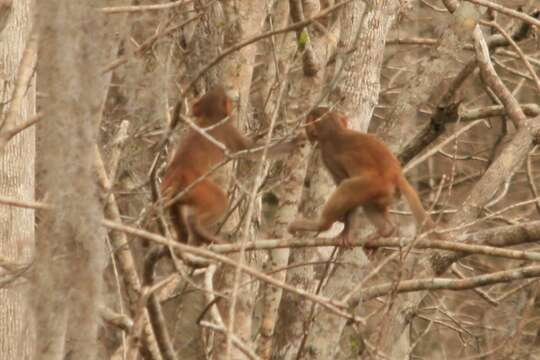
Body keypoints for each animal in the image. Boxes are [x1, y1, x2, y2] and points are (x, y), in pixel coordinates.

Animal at [160, 86, 304, 246]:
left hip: (177, 196)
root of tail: (176, 172)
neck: (210, 117)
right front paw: (293, 144)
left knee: (179, 219)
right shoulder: (229, 130)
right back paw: (199, 229)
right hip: (196, 187)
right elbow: (251, 150)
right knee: (218, 201)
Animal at [288, 107, 436, 248]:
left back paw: (321, 225)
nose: (307, 131)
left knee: (347, 188)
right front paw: (346, 229)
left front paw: (345, 228)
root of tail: (396, 174)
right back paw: (387, 230)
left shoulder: (327, 156)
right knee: (368, 203)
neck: (335, 130)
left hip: (374, 184)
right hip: (387, 193)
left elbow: (343, 181)